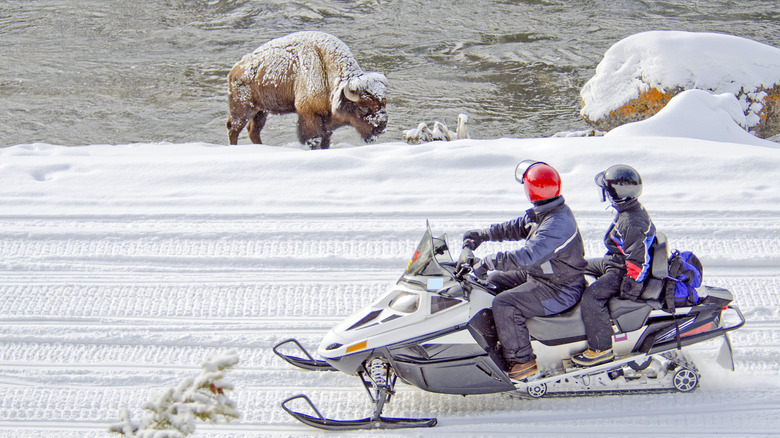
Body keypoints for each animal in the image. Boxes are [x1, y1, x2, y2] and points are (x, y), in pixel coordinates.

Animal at [225, 30, 386, 149]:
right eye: (363, 108)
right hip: (242, 110)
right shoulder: (309, 115)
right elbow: (312, 139)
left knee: (253, 130)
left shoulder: (326, 123)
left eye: (383, 103)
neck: (327, 70)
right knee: (233, 129)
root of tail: (235, 70)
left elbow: (325, 139)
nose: (381, 127)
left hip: (261, 111)